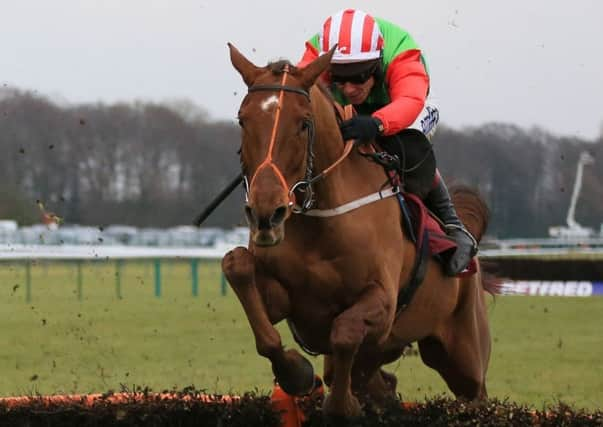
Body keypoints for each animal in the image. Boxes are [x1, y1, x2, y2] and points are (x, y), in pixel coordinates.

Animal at [222, 45, 496, 420]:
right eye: (242, 120)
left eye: (303, 123)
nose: (266, 213)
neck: (320, 223)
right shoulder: (286, 302)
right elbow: (237, 268)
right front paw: (296, 372)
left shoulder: (382, 303)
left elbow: (346, 331)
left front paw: (341, 406)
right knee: (374, 379)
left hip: (463, 356)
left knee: (474, 392)